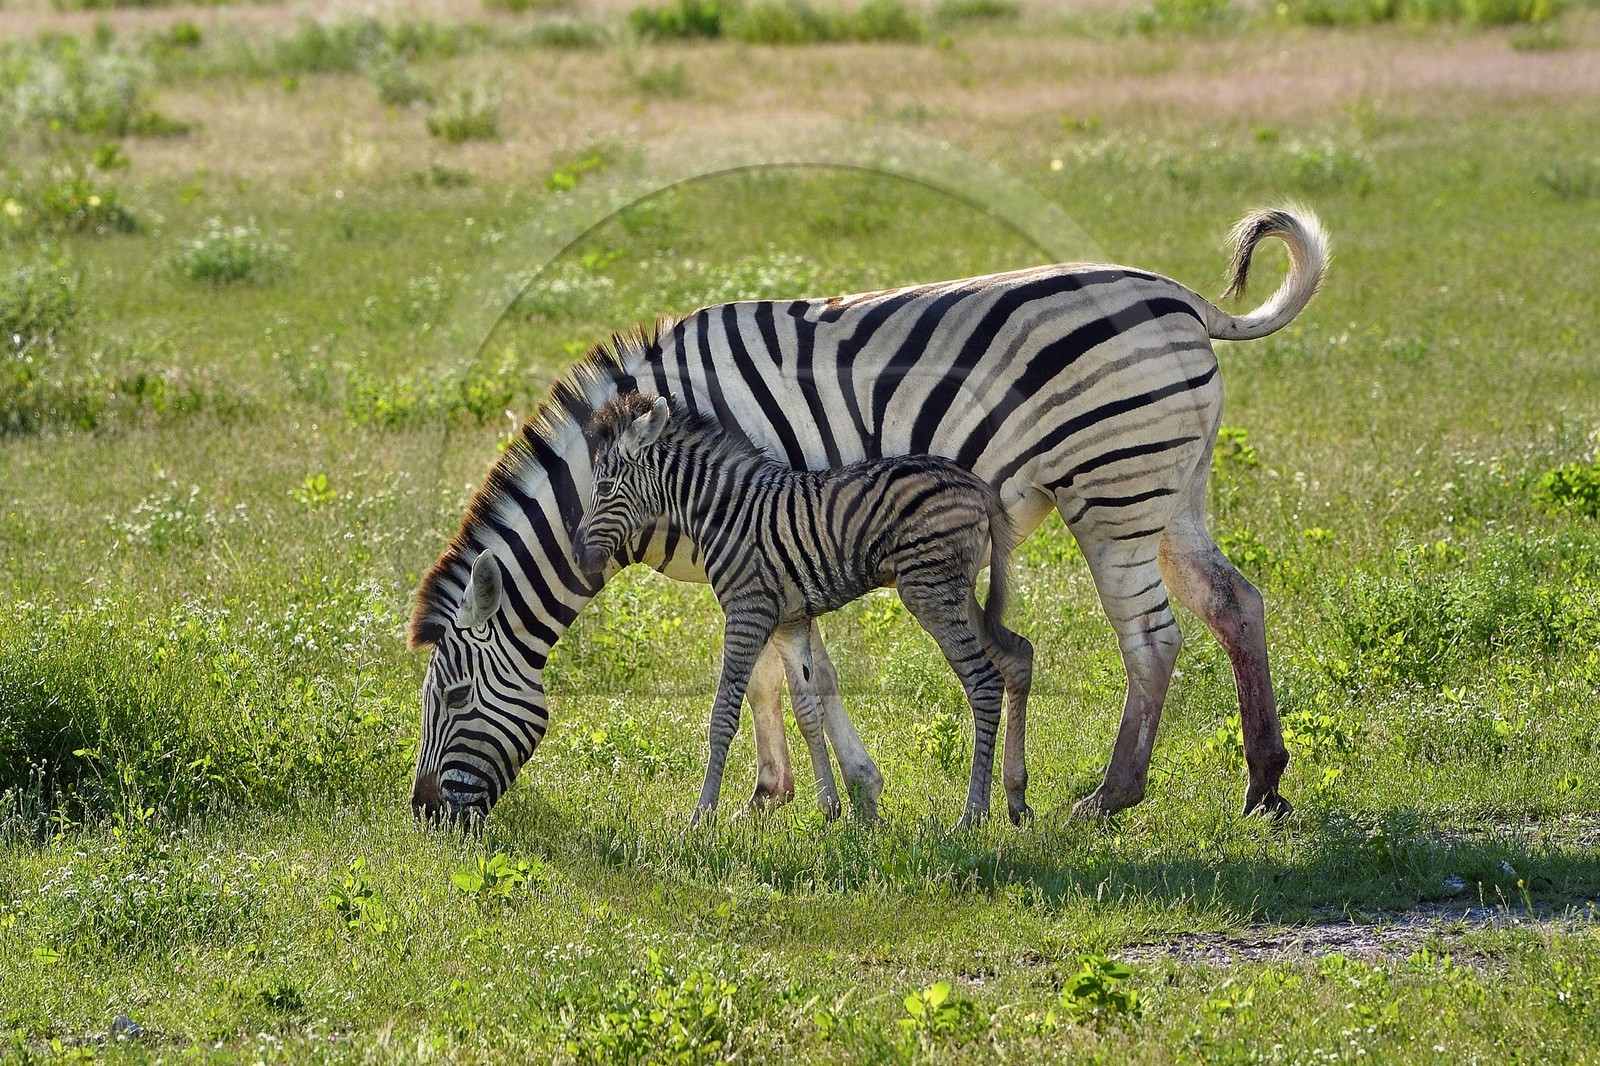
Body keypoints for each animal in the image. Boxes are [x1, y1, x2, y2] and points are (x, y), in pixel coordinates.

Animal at [572, 391, 1034, 826]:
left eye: (606, 487)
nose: (579, 557)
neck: (724, 514)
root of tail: (975, 484)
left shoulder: (747, 612)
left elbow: (723, 714)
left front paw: (701, 817)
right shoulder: (792, 622)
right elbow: (809, 709)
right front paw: (829, 808)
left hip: (931, 591)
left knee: (984, 683)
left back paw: (973, 815)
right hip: (957, 591)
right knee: (1017, 654)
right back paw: (1015, 801)